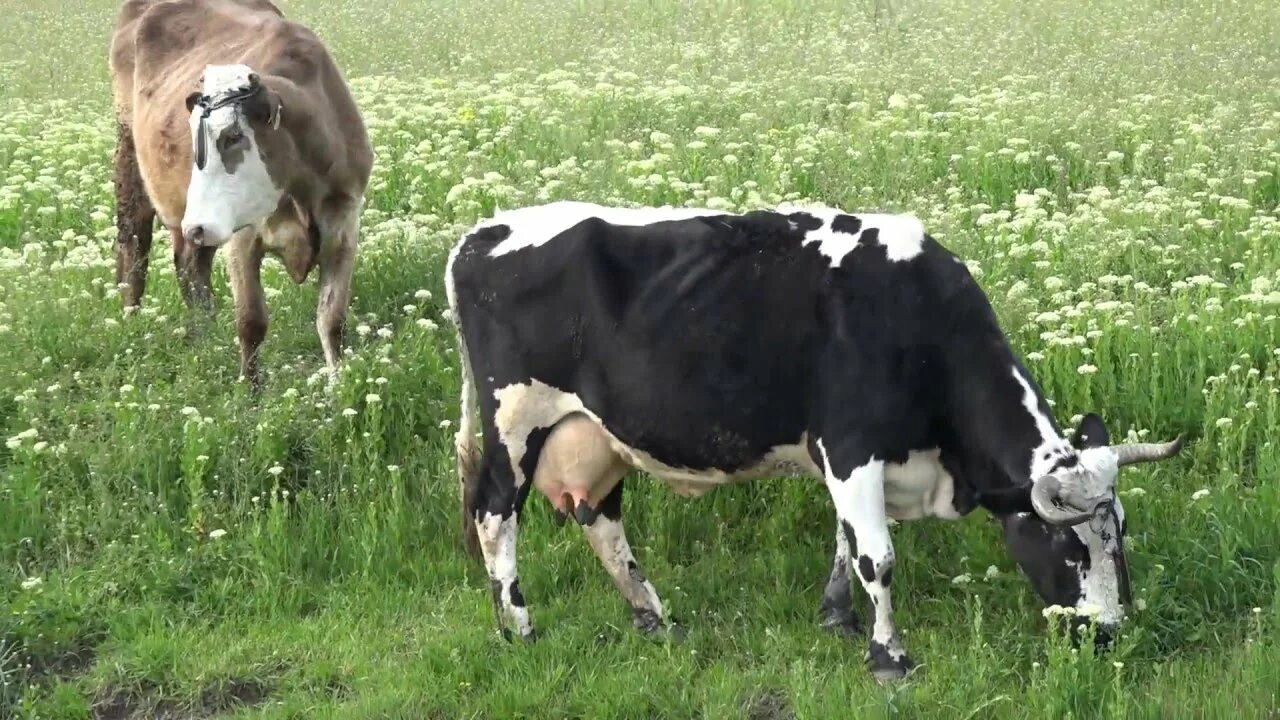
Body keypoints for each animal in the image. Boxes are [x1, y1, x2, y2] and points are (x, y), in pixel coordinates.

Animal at [109, 0, 373, 387]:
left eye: (233, 136)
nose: (197, 225)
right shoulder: (243, 238)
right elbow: (251, 322)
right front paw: (250, 393)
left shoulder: (343, 229)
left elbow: (332, 321)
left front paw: (338, 387)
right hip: (133, 161)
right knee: (134, 244)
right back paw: (130, 317)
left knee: (190, 266)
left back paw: (204, 332)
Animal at [446, 200, 1184, 681]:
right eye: (1069, 545)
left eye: (1119, 535)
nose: (1110, 636)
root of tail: (482, 231)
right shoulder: (851, 445)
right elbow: (878, 557)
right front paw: (889, 657)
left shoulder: (854, 459)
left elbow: (846, 541)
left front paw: (838, 617)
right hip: (515, 419)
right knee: (494, 513)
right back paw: (520, 629)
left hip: (594, 435)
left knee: (600, 519)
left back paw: (653, 616)